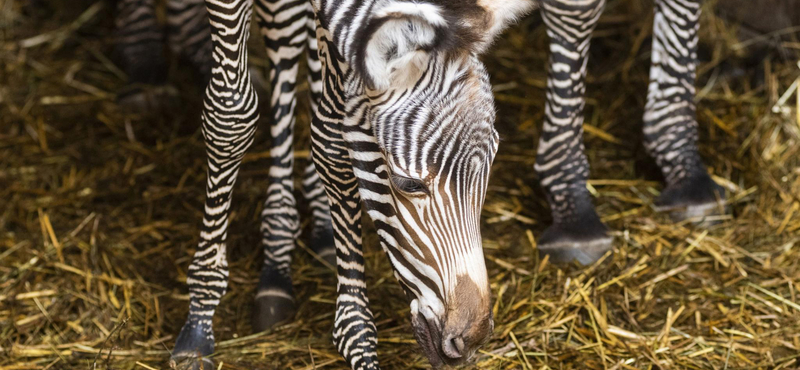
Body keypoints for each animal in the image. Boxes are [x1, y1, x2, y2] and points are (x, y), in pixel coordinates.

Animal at [112, 0, 536, 368]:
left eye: (490, 170)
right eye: (408, 183)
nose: (472, 337)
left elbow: (329, 133)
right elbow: (231, 115)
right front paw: (200, 317)